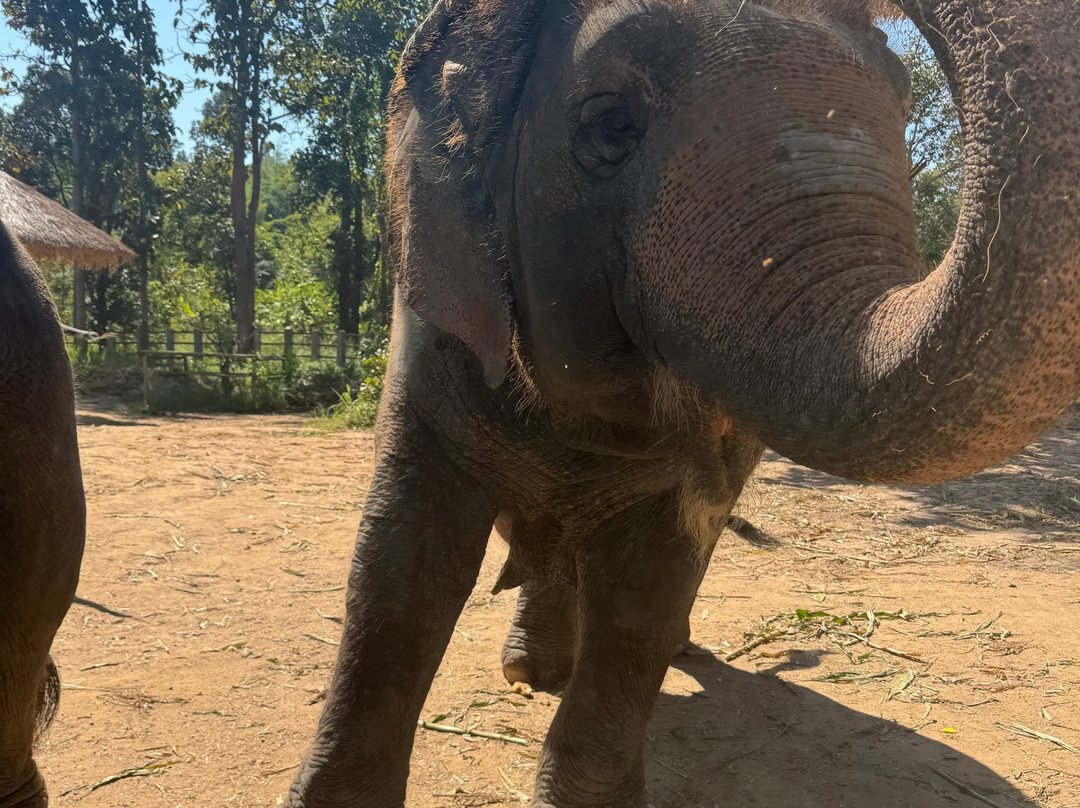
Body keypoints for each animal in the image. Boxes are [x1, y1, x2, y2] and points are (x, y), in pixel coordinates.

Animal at [286, 0, 1080, 805]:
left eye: (904, 99)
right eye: (609, 125)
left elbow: (652, 578)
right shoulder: (430, 330)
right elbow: (402, 564)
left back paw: (652, 653)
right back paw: (532, 673)